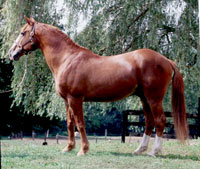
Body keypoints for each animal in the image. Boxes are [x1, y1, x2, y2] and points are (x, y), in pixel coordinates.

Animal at [8, 16, 188, 156]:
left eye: (23, 33)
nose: (11, 53)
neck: (67, 59)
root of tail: (167, 60)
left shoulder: (75, 99)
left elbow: (80, 124)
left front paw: (83, 150)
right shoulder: (67, 101)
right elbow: (70, 123)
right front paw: (68, 148)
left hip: (153, 98)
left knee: (160, 121)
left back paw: (154, 152)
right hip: (144, 98)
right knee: (149, 122)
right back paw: (139, 150)